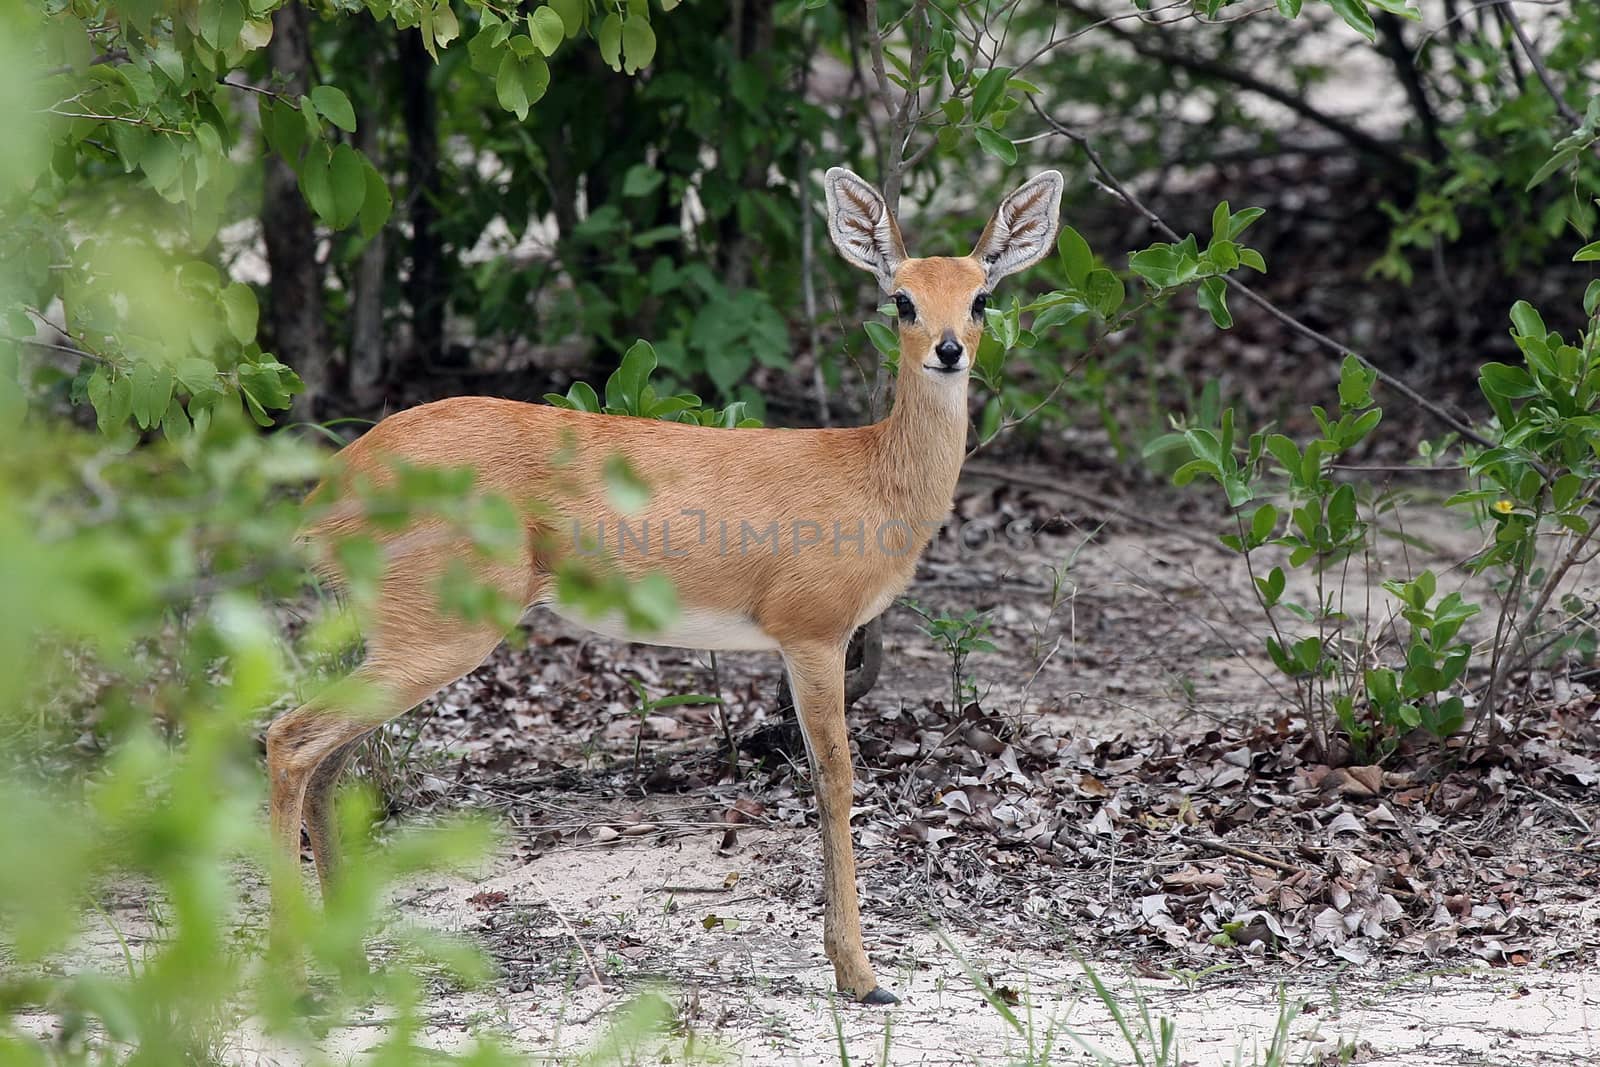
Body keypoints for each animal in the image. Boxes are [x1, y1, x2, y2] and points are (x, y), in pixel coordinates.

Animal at [265, 164, 1062, 1004]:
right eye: (902, 298)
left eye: (981, 297)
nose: (948, 349)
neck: (874, 480)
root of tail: (326, 490)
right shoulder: (812, 628)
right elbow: (835, 779)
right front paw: (861, 974)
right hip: (442, 628)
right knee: (290, 739)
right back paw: (289, 968)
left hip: (398, 631)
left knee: (331, 763)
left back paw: (347, 959)